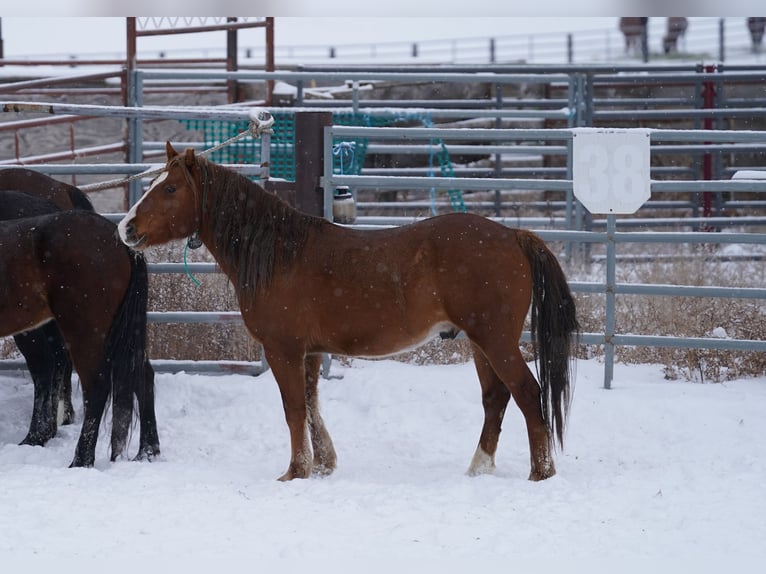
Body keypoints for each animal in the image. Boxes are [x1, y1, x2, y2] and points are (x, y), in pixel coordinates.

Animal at [120, 143, 580, 482]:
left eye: (170, 189)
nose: (126, 228)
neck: (278, 253)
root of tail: (512, 235)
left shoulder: (283, 350)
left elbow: (293, 409)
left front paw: (295, 472)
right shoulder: (308, 352)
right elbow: (310, 406)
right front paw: (322, 464)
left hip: (495, 339)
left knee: (527, 393)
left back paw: (541, 474)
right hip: (480, 342)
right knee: (496, 398)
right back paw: (478, 469)